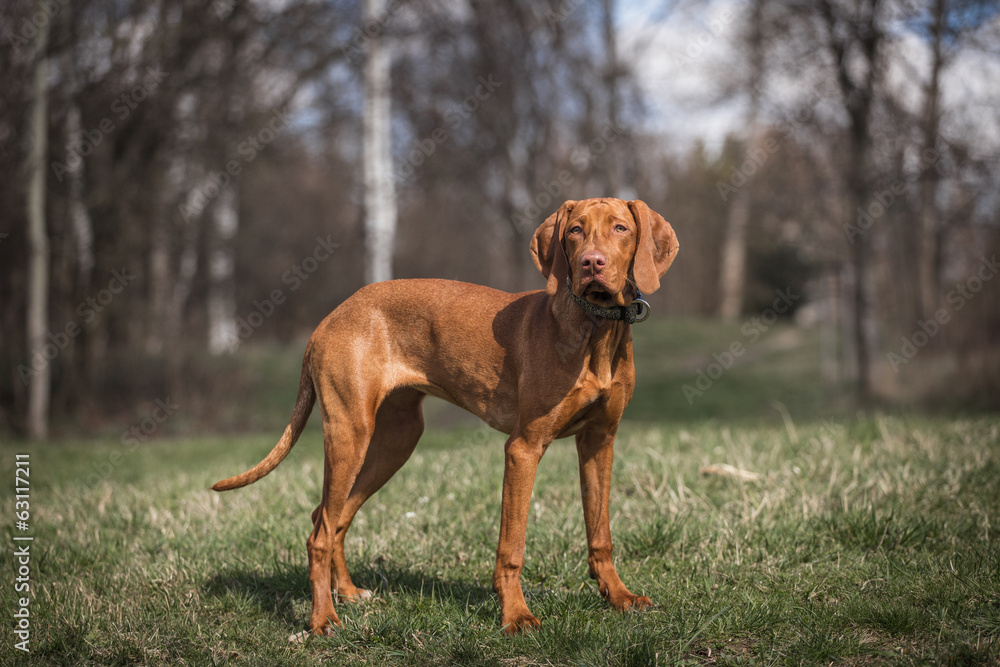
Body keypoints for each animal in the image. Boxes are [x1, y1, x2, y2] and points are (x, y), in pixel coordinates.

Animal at [213, 198, 680, 636]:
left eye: (620, 229)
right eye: (576, 231)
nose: (591, 264)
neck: (594, 331)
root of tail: (327, 319)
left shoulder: (600, 442)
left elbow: (601, 534)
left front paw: (618, 597)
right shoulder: (523, 448)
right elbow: (512, 546)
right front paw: (515, 616)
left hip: (396, 440)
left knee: (332, 516)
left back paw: (345, 592)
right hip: (350, 433)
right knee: (320, 532)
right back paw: (323, 619)